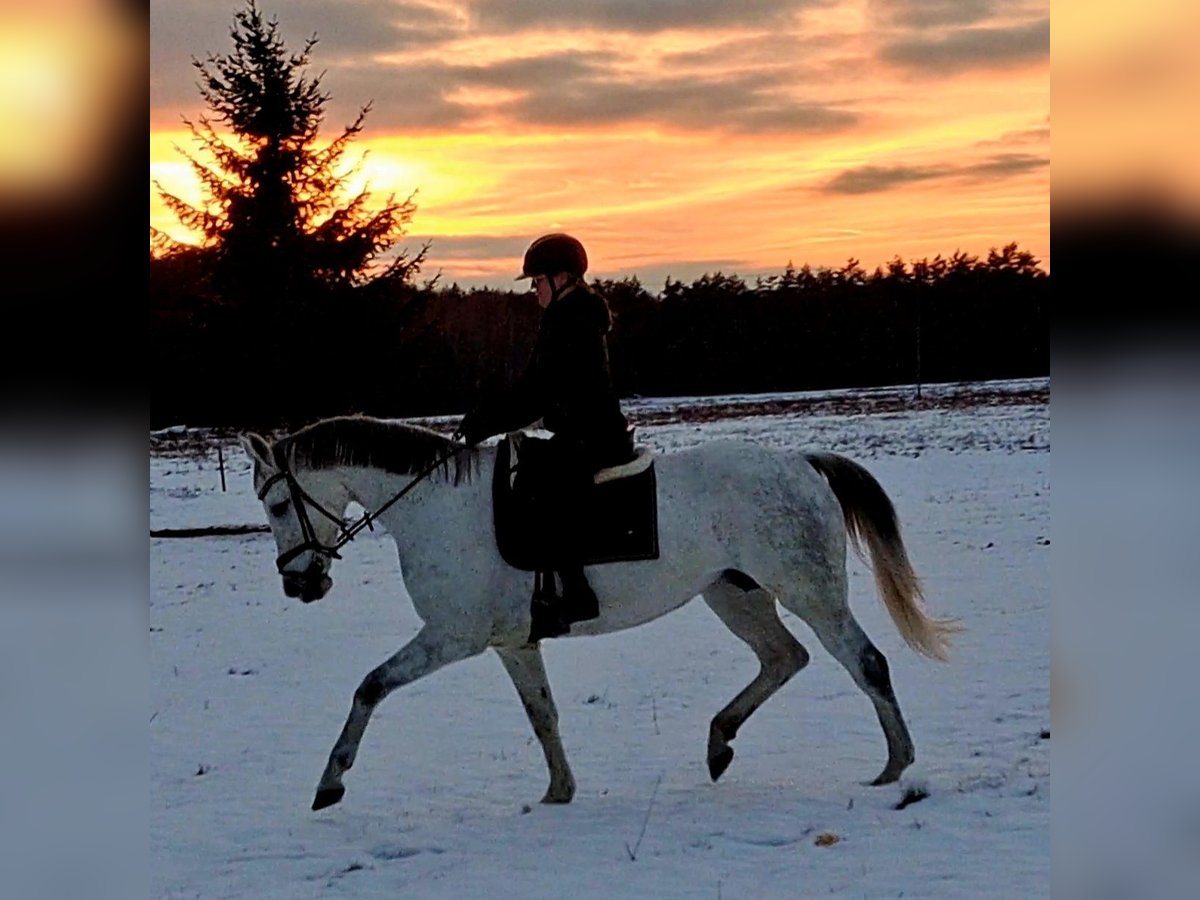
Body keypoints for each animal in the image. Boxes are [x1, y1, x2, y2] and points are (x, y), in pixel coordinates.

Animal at [238, 415, 961, 813]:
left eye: (274, 505)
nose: (300, 585)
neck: (434, 508)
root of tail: (802, 464)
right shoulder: (512, 643)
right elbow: (543, 715)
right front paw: (559, 790)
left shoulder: (452, 637)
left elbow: (370, 687)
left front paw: (331, 782)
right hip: (734, 593)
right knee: (785, 658)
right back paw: (719, 741)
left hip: (809, 591)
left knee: (864, 661)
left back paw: (895, 765)